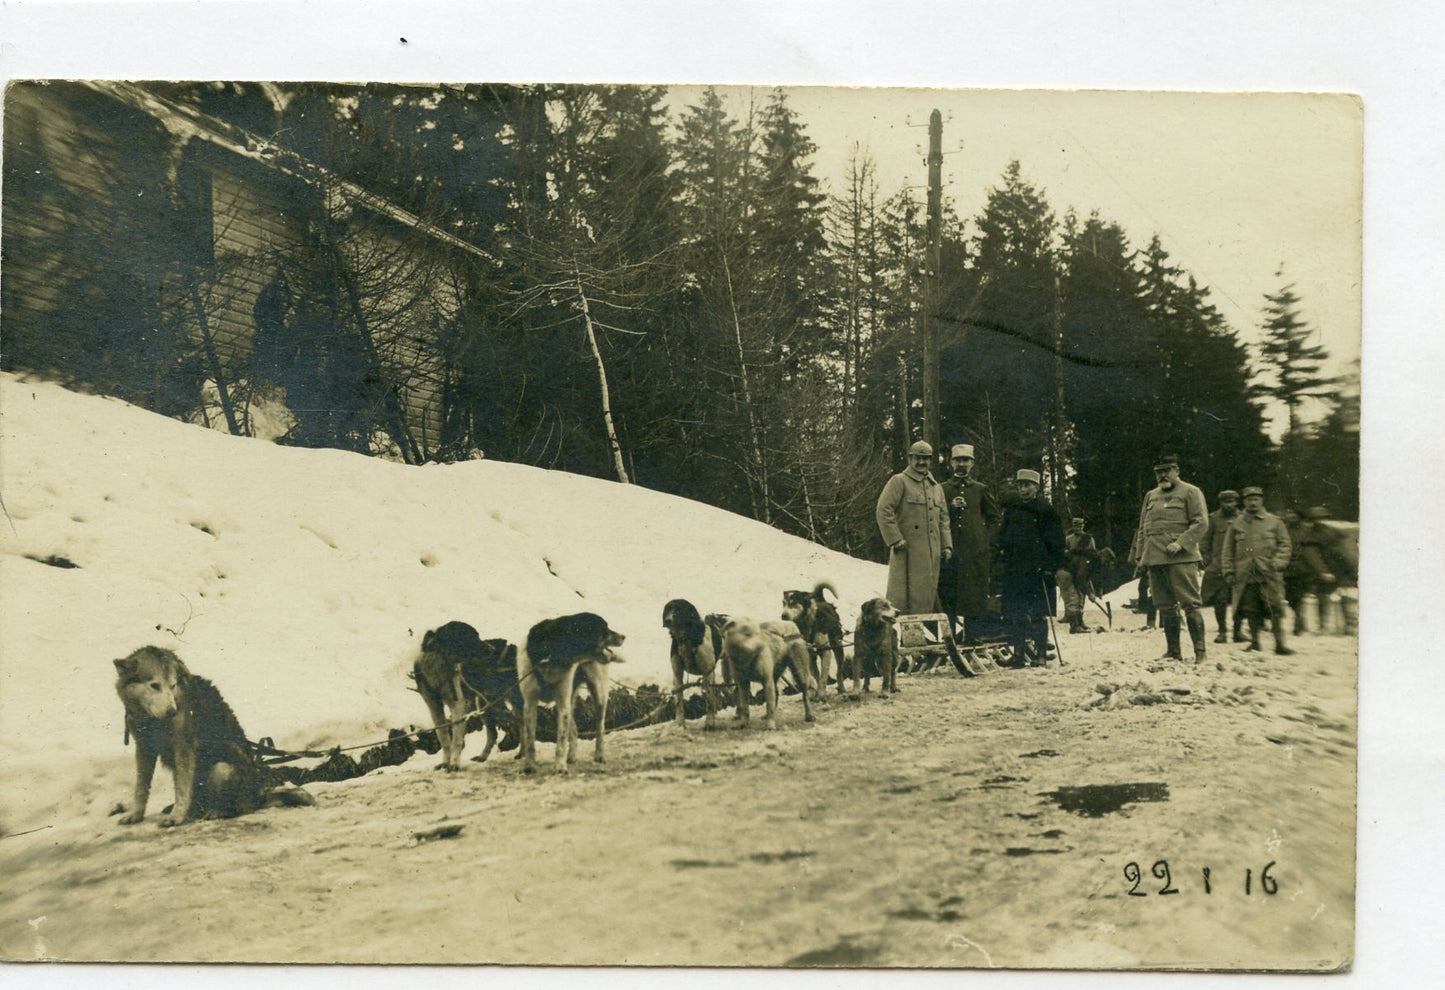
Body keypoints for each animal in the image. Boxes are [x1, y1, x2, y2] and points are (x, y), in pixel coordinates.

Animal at [112, 644, 313, 820]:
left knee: (232, 806)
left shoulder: (184, 747)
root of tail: (260, 797)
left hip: (221, 769)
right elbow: (141, 787)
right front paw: (136, 815)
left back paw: (214, 812)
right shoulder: (144, 748)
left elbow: (182, 787)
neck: (152, 720)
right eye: (154, 685)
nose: (172, 711)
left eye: (173, 685)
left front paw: (177, 816)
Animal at [410, 621, 523, 768]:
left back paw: (523, 753)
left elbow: (456, 739)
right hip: (486, 704)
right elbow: (443, 737)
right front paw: (445, 762)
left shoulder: (458, 704)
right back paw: (483, 756)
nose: (491, 649)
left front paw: (454, 764)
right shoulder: (433, 706)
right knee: (494, 733)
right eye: (472, 637)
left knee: (524, 725)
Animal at [661, 598, 722, 728]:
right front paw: (680, 724)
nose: (667, 620)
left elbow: (709, 698)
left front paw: (709, 722)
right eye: (668, 609)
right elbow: (679, 701)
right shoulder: (677, 674)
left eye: (679, 609)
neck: (687, 638)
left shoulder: (707, 673)